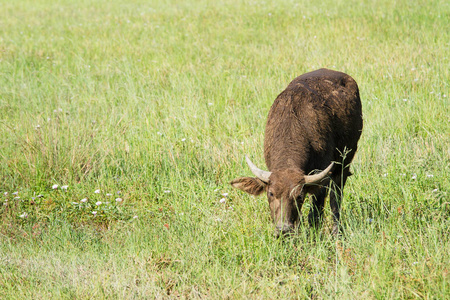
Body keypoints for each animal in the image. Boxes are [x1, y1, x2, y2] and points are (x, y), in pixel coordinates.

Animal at [230, 68, 364, 237]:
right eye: (271, 193)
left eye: (299, 196)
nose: (284, 229)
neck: (292, 127)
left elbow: (315, 213)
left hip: (345, 161)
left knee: (336, 196)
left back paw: (336, 231)